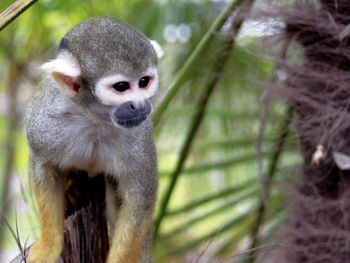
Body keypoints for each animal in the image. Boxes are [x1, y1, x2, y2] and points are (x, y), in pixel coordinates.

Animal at [25, 17, 163, 262]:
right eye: (121, 87)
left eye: (144, 82)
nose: (140, 104)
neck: (95, 119)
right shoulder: (43, 126)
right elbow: (43, 167)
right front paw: (48, 246)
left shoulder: (139, 135)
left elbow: (141, 200)